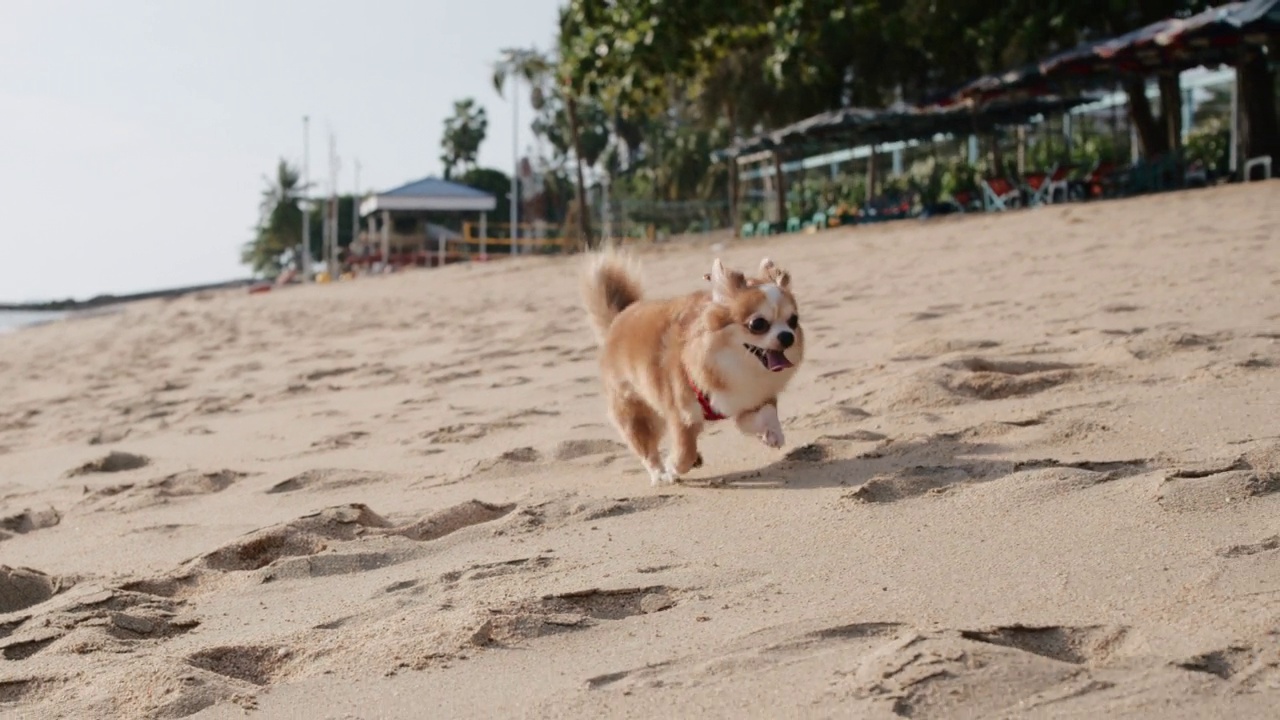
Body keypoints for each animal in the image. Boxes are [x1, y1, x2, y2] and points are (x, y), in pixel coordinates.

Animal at [586, 251, 803, 481]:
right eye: (758, 324)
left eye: (793, 320)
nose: (787, 336)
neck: (734, 362)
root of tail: (618, 318)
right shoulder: (682, 415)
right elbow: (685, 451)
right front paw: (673, 467)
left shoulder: (748, 400)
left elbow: (765, 412)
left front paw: (772, 433)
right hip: (636, 411)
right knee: (646, 448)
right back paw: (660, 474)